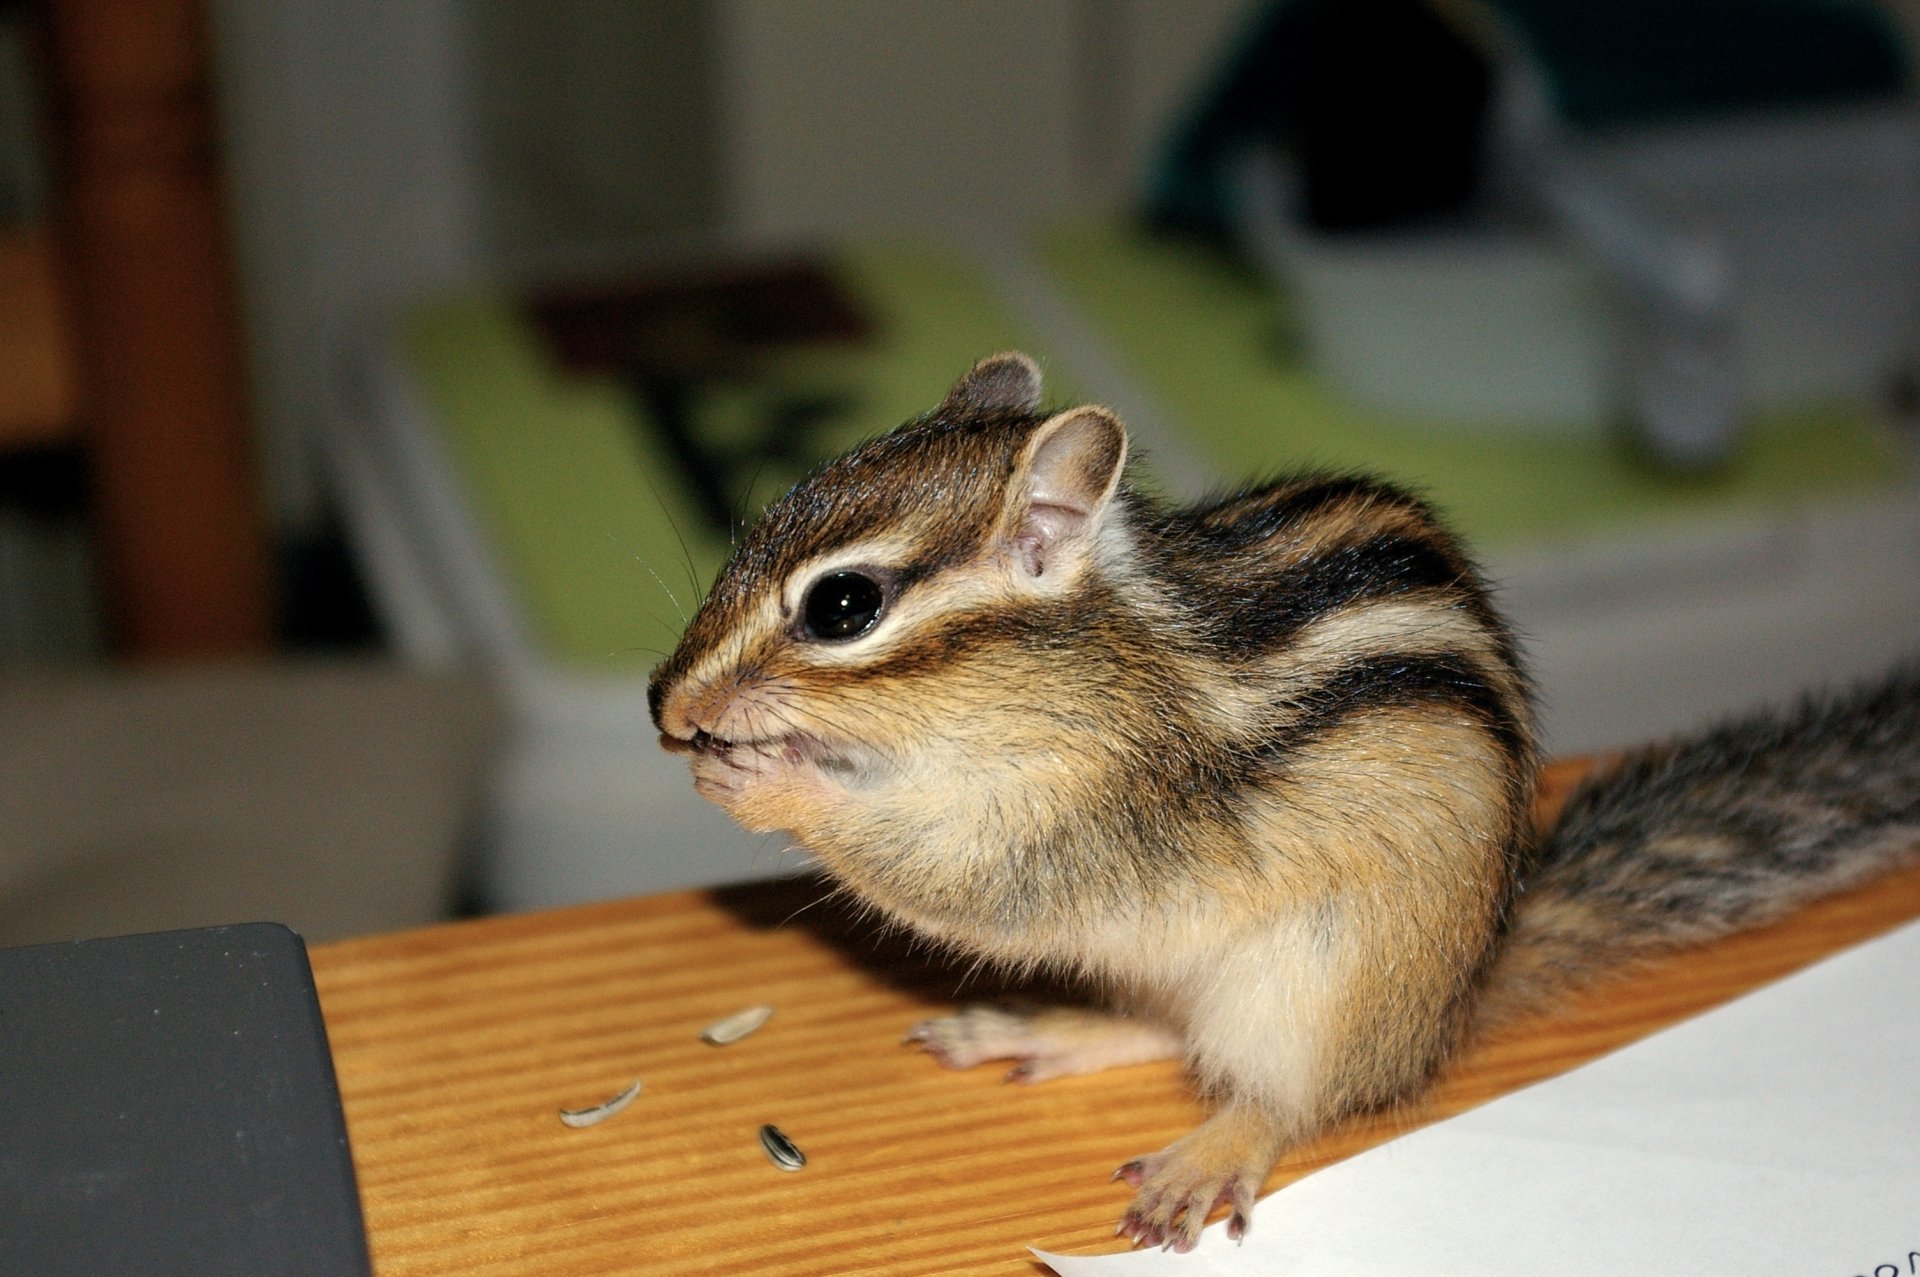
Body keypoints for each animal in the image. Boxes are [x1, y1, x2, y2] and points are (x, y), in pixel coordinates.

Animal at [648, 352, 1920, 1251]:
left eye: (844, 605)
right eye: (765, 520)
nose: (666, 701)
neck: (1086, 667)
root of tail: (1454, 1000)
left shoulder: (1090, 817)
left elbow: (957, 880)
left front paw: (760, 778)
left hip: (1317, 986)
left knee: (1291, 1094)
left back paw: (1212, 1148)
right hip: (1177, 968)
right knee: (1162, 1026)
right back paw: (1044, 1028)